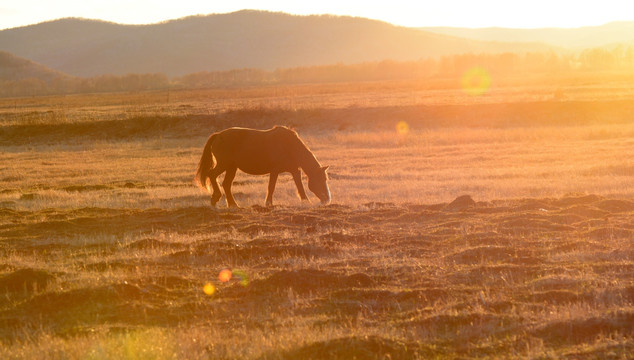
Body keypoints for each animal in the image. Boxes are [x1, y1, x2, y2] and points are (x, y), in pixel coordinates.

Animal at [194, 126, 330, 205]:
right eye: (320, 179)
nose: (327, 200)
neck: (290, 145)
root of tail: (218, 135)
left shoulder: (294, 170)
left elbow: (299, 185)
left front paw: (305, 200)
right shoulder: (275, 170)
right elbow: (271, 187)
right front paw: (268, 203)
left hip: (231, 168)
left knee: (226, 184)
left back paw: (233, 204)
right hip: (224, 165)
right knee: (212, 175)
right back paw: (215, 197)